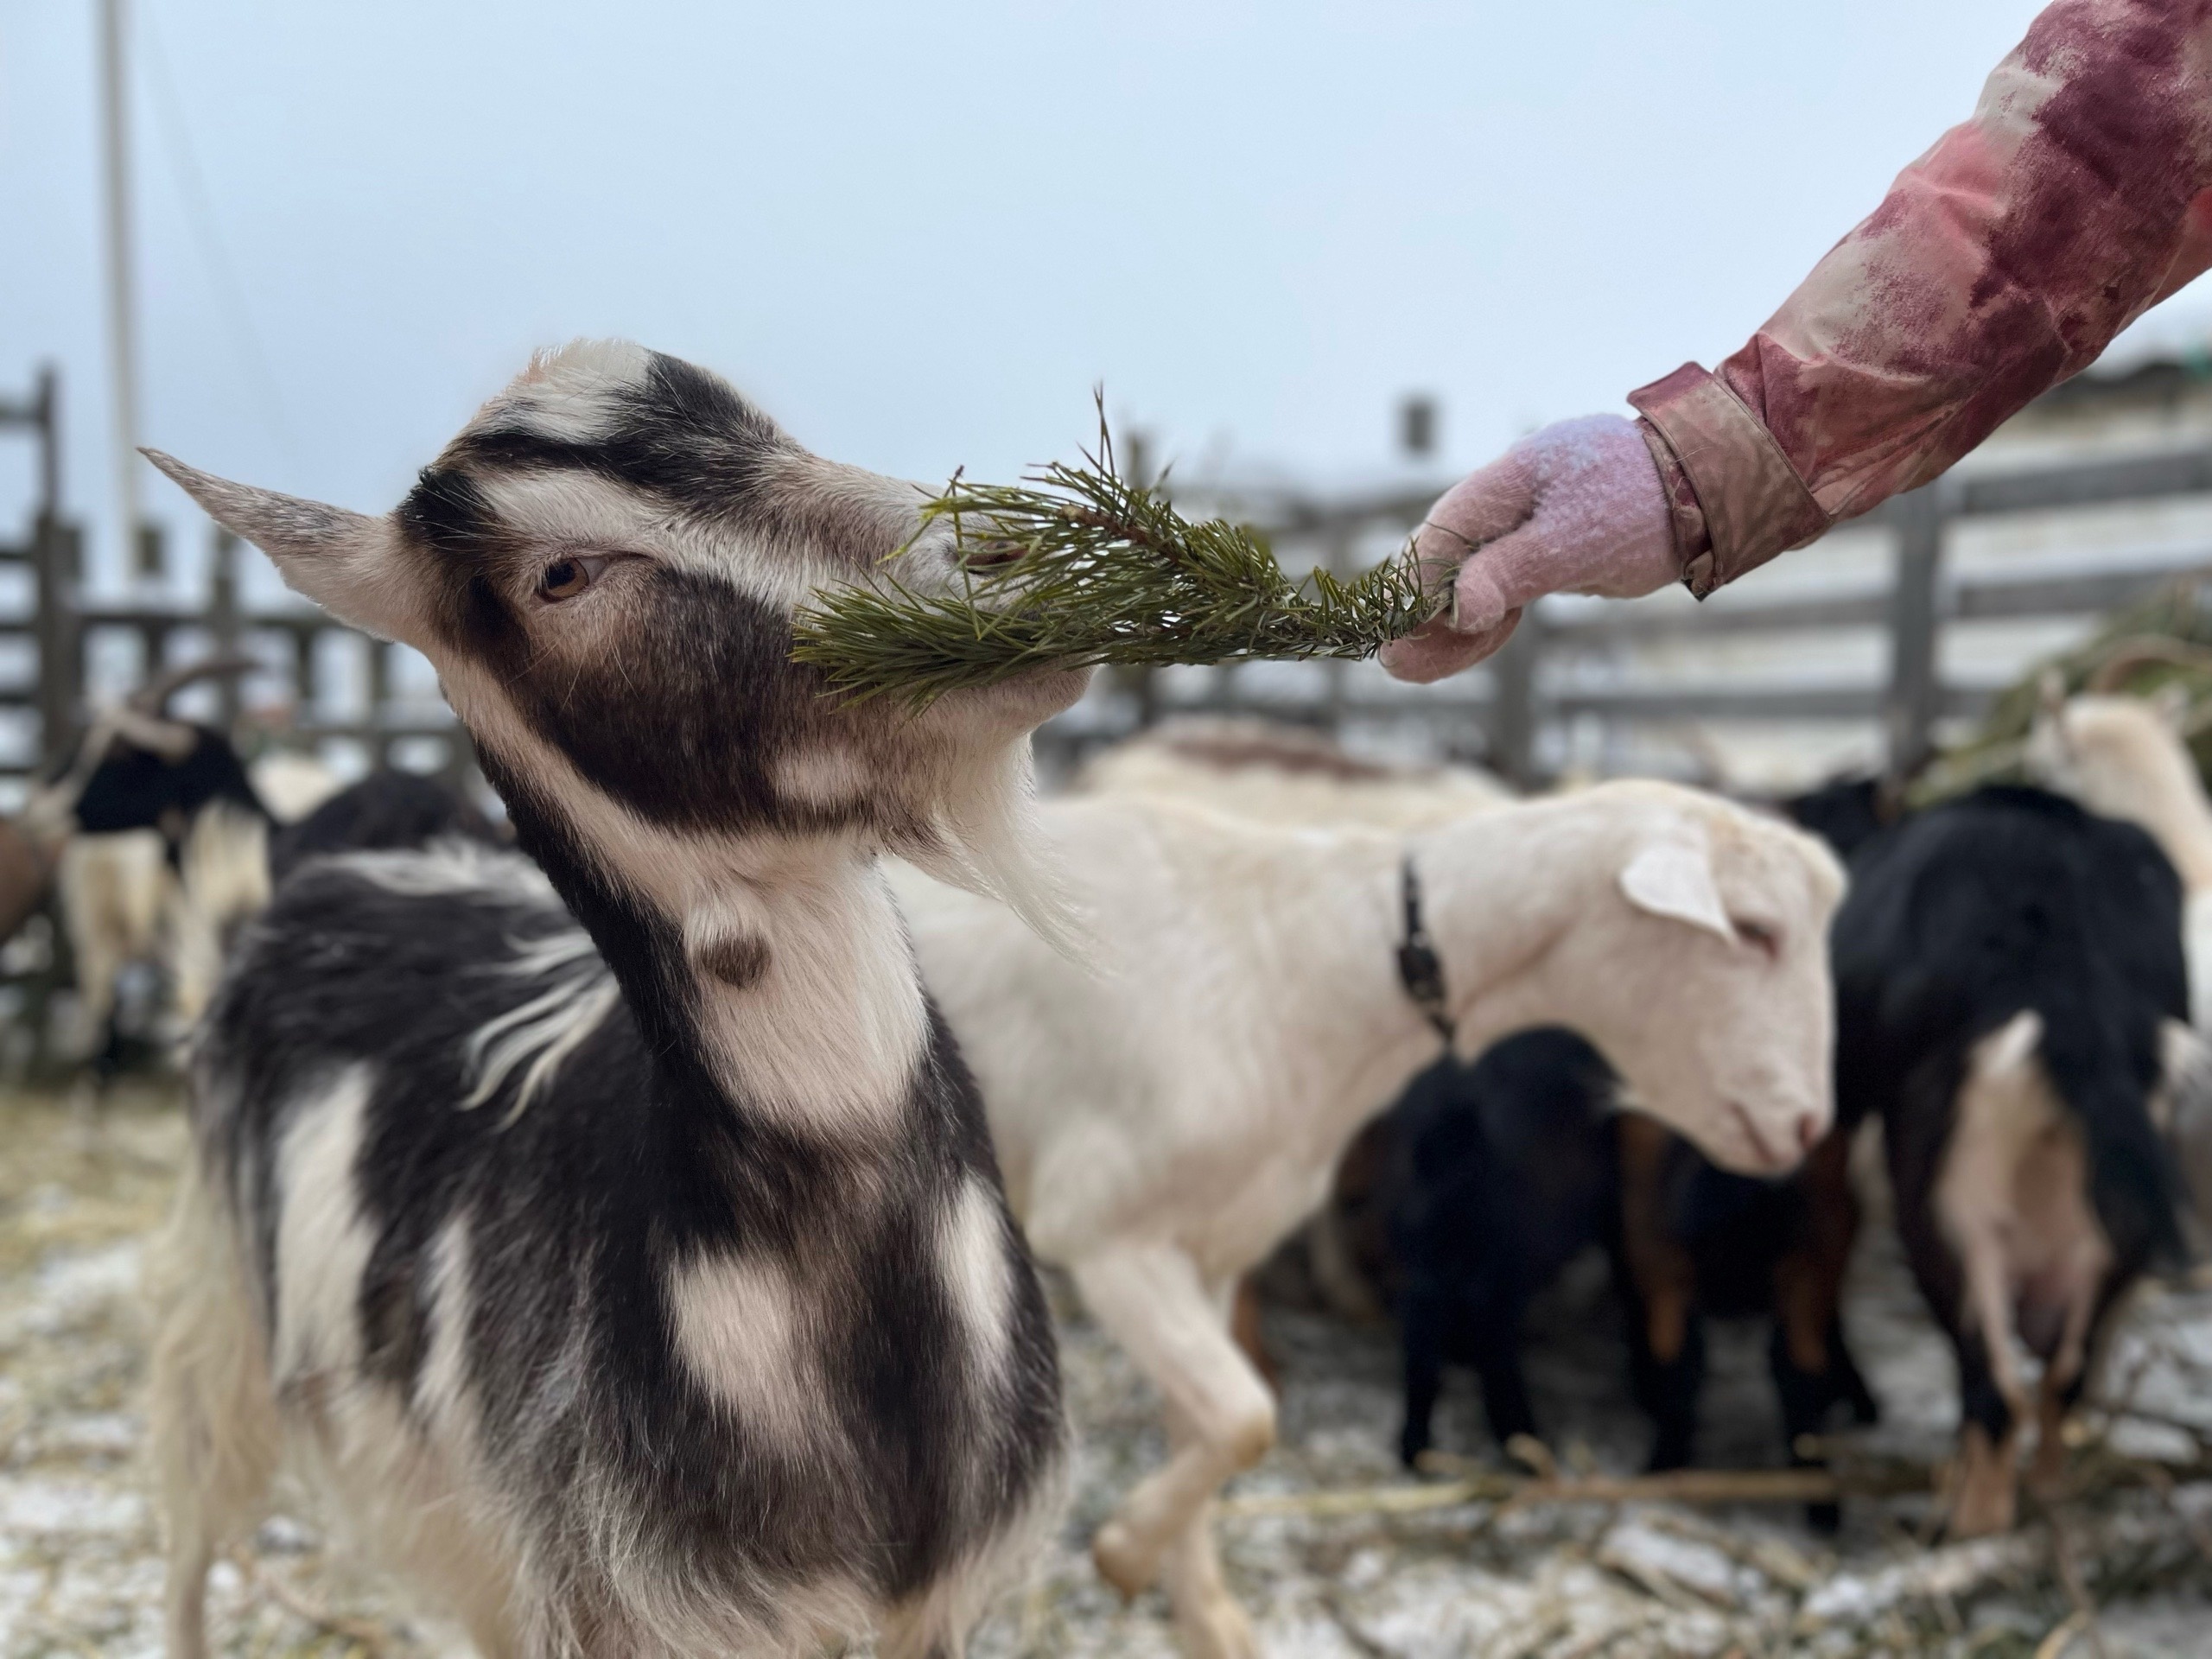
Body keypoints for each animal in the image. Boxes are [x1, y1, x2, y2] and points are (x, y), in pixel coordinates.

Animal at [889, 783, 1840, 1659]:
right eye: (1755, 929)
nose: (1804, 1128)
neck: (1307, 964)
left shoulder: (1213, 1241)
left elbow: (1214, 1422)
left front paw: (1200, 1614)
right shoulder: (1107, 1232)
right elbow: (1246, 1415)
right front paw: (1123, 1553)